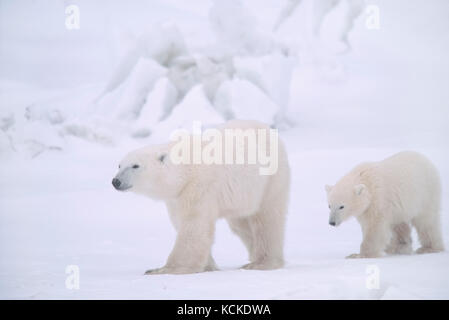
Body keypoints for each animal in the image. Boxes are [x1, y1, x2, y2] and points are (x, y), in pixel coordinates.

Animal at [112, 120, 290, 276]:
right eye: (119, 165)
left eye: (135, 166)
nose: (116, 181)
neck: (184, 169)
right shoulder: (176, 197)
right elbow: (181, 222)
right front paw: (208, 266)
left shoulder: (199, 187)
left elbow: (194, 225)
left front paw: (162, 270)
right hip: (243, 196)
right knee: (241, 224)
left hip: (270, 180)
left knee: (266, 220)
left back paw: (262, 262)